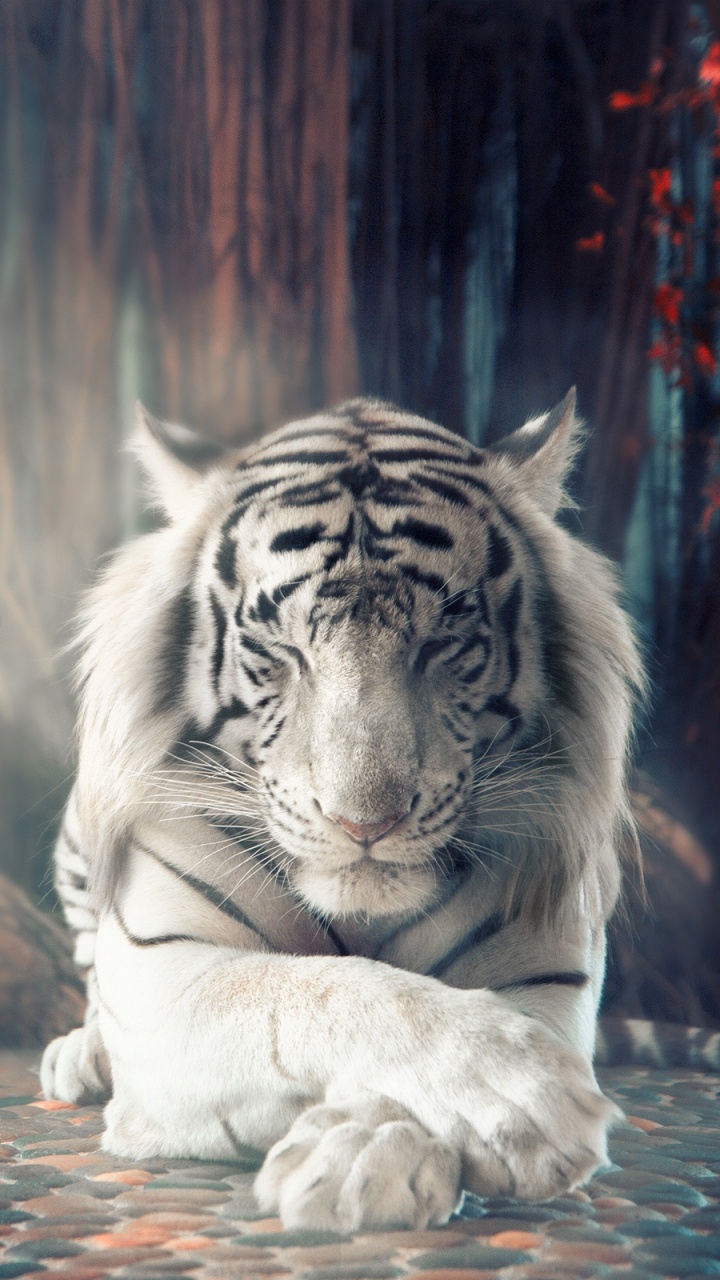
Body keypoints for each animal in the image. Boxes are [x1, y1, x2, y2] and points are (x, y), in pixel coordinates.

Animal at [42, 389, 645, 1233]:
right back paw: (80, 1053)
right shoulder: (168, 976)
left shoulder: (545, 972)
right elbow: (322, 990)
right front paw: (521, 1095)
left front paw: (366, 1154)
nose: (364, 824)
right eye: (278, 647)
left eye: (444, 641)